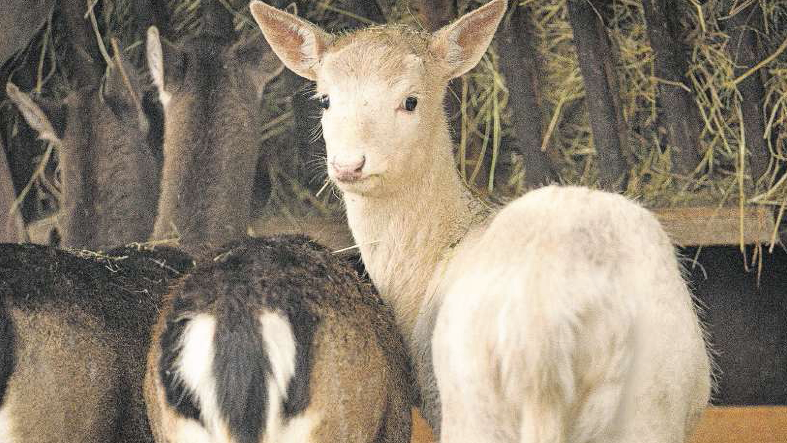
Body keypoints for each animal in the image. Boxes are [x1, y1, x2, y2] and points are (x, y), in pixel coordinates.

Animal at [251, 1, 716, 442]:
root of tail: (548, 332)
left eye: (411, 101)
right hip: (649, 405)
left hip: (473, 404)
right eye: (325, 100)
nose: (349, 165)